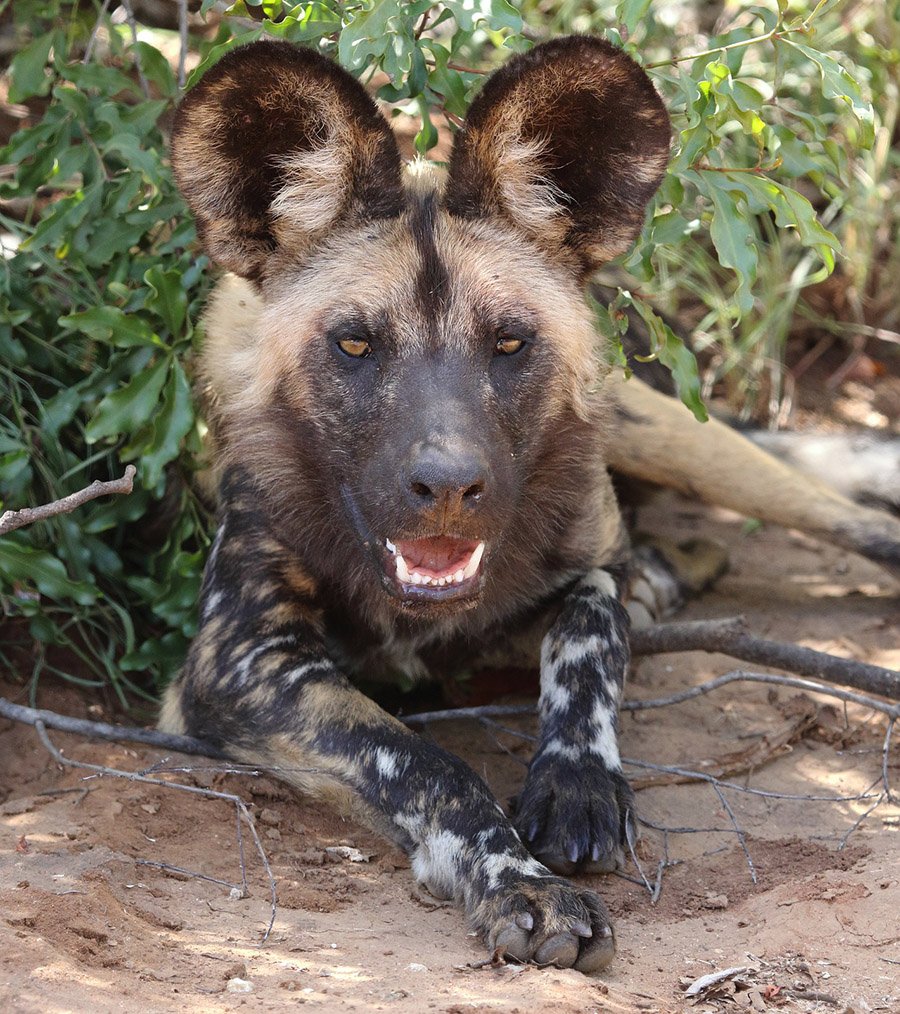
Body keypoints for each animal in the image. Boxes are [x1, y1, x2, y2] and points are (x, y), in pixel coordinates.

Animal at [160, 39, 900, 973]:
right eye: (355, 344)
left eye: (510, 342)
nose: (447, 486)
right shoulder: (238, 667)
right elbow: (426, 765)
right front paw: (518, 881)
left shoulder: (588, 564)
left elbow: (590, 627)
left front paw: (579, 780)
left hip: (678, 440)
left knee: (850, 523)